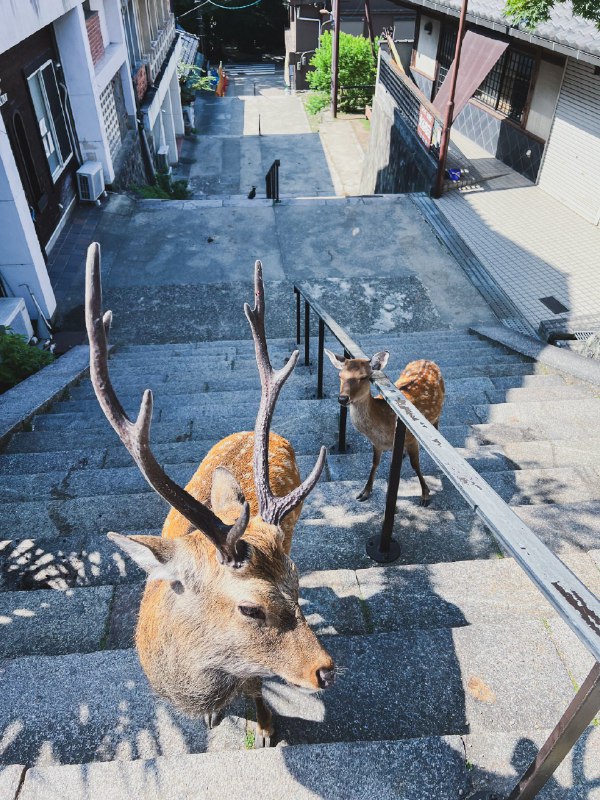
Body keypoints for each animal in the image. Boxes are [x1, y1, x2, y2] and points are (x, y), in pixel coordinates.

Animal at [325, 351, 445, 506]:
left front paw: (425, 495)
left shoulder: (411, 438)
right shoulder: (377, 443)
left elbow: (415, 465)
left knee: (436, 423)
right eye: (340, 375)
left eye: (363, 377)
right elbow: (375, 463)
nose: (343, 399)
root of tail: (427, 360)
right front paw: (365, 492)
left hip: (439, 410)